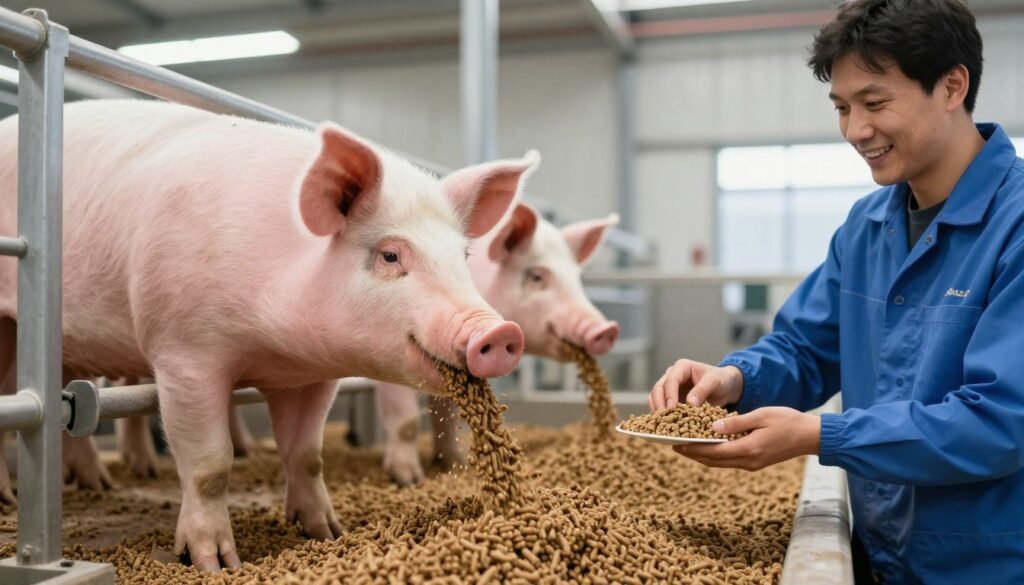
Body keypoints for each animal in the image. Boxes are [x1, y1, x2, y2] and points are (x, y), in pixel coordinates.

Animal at [0, 99, 537, 570]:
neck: (275, 350)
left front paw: (327, 533)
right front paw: (215, 563)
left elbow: (307, 455)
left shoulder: (313, 377)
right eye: (389, 255)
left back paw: (98, 485)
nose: (500, 332)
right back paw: (15, 499)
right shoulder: (182, 351)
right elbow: (210, 465)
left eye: (463, 257)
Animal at [375, 202, 621, 485]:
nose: (607, 329)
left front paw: (455, 463)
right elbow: (406, 419)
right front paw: (409, 480)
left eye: (577, 279)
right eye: (537, 276)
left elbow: (446, 414)